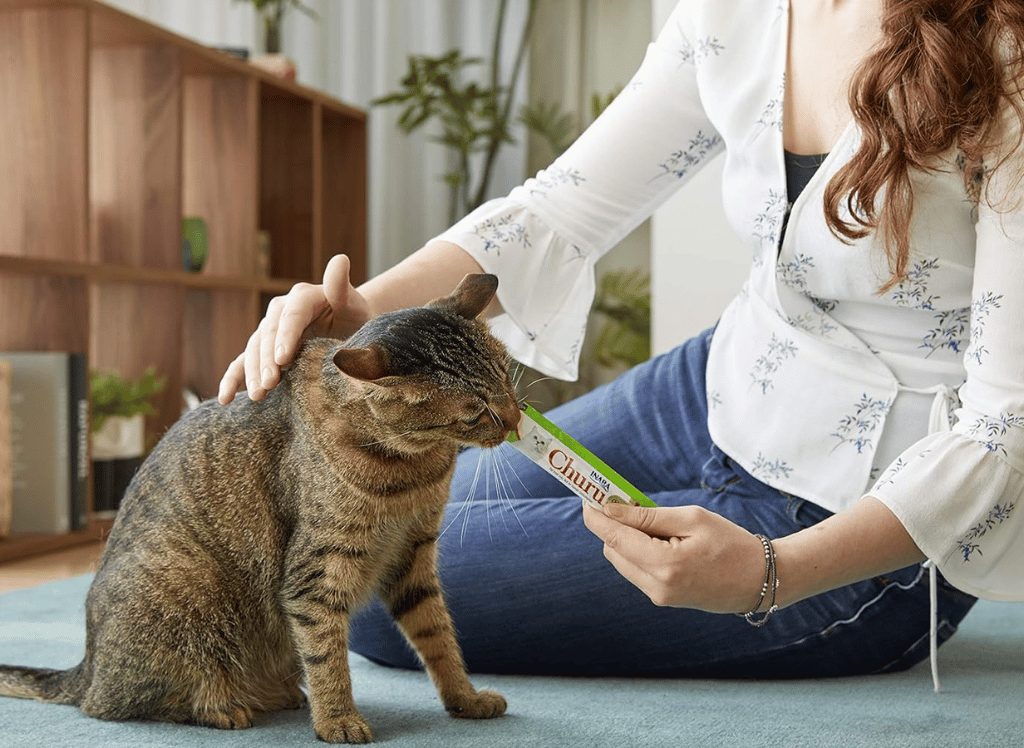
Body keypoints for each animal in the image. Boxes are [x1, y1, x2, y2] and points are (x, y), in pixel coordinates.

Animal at [0, 272, 520, 741]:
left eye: (505, 374)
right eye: (476, 411)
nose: (516, 420)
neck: (415, 468)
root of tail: (86, 666)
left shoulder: (414, 555)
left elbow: (439, 637)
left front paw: (465, 698)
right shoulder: (316, 572)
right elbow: (327, 655)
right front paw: (337, 720)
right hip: (186, 589)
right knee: (117, 704)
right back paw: (220, 706)